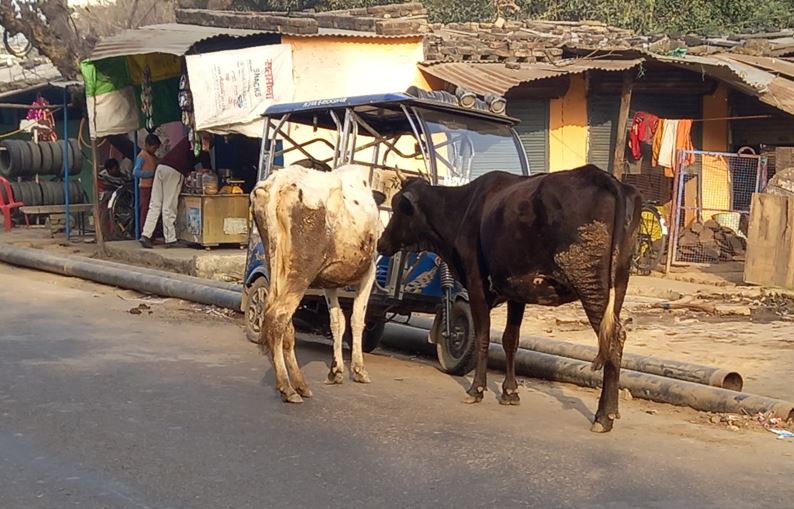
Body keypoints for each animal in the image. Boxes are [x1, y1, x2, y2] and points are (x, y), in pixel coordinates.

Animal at [249, 163, 382, 400]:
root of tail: (278, 182)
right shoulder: (369, 273)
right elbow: (357, 319)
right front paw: (359, 370)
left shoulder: (329, 283)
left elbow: (337, 321)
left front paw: (336, 371)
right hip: (302, 272)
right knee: (277, 317)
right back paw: (287, 387)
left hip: (276, 264)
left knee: (284, 323)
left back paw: (299, 384)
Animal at [374, 165, 640, 430]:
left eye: (399, 206)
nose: (381, 243)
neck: (462, 209)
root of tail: (605, 178)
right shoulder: (517, 291)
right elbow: (510, 340)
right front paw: (510, 392)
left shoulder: (476, 283)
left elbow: (483, 335)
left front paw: (476, 389)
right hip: (619, 285)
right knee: (617, 337)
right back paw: (612, 410)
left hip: (589, 283)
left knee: (611, 339)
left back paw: (603, 416)